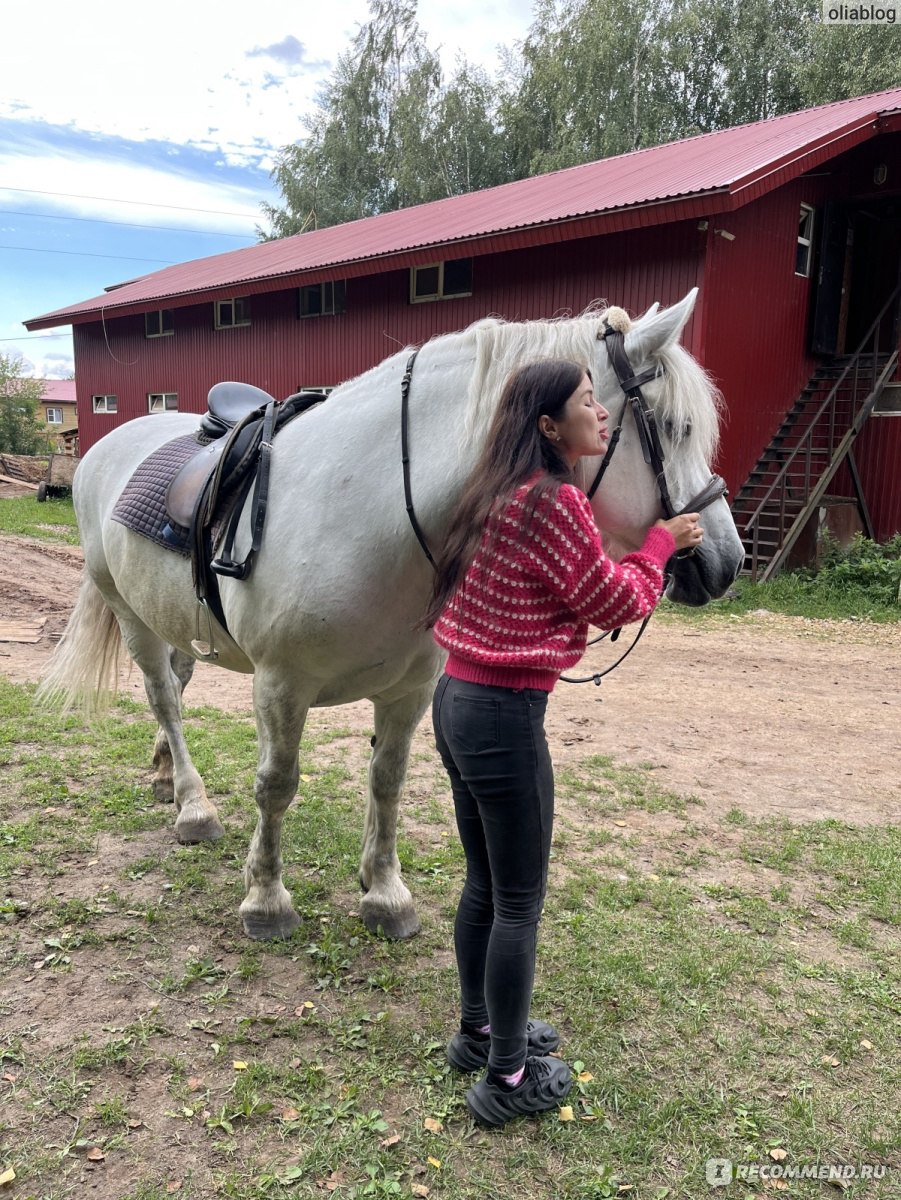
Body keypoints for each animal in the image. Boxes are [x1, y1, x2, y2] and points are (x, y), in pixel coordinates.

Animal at [40, 288, 748, 936]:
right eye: (676, 428)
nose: (727, 561)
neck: (371, 509)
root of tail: (110, 443)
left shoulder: (409, 690)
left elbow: (388, 780)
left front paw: (384, 894)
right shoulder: (281, 685)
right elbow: (277, 784)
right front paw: (266, 899)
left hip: (175, 619)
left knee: (179, 687)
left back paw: (166, 775)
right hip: (129, 614)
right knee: (163, 695)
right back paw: (194, 807)